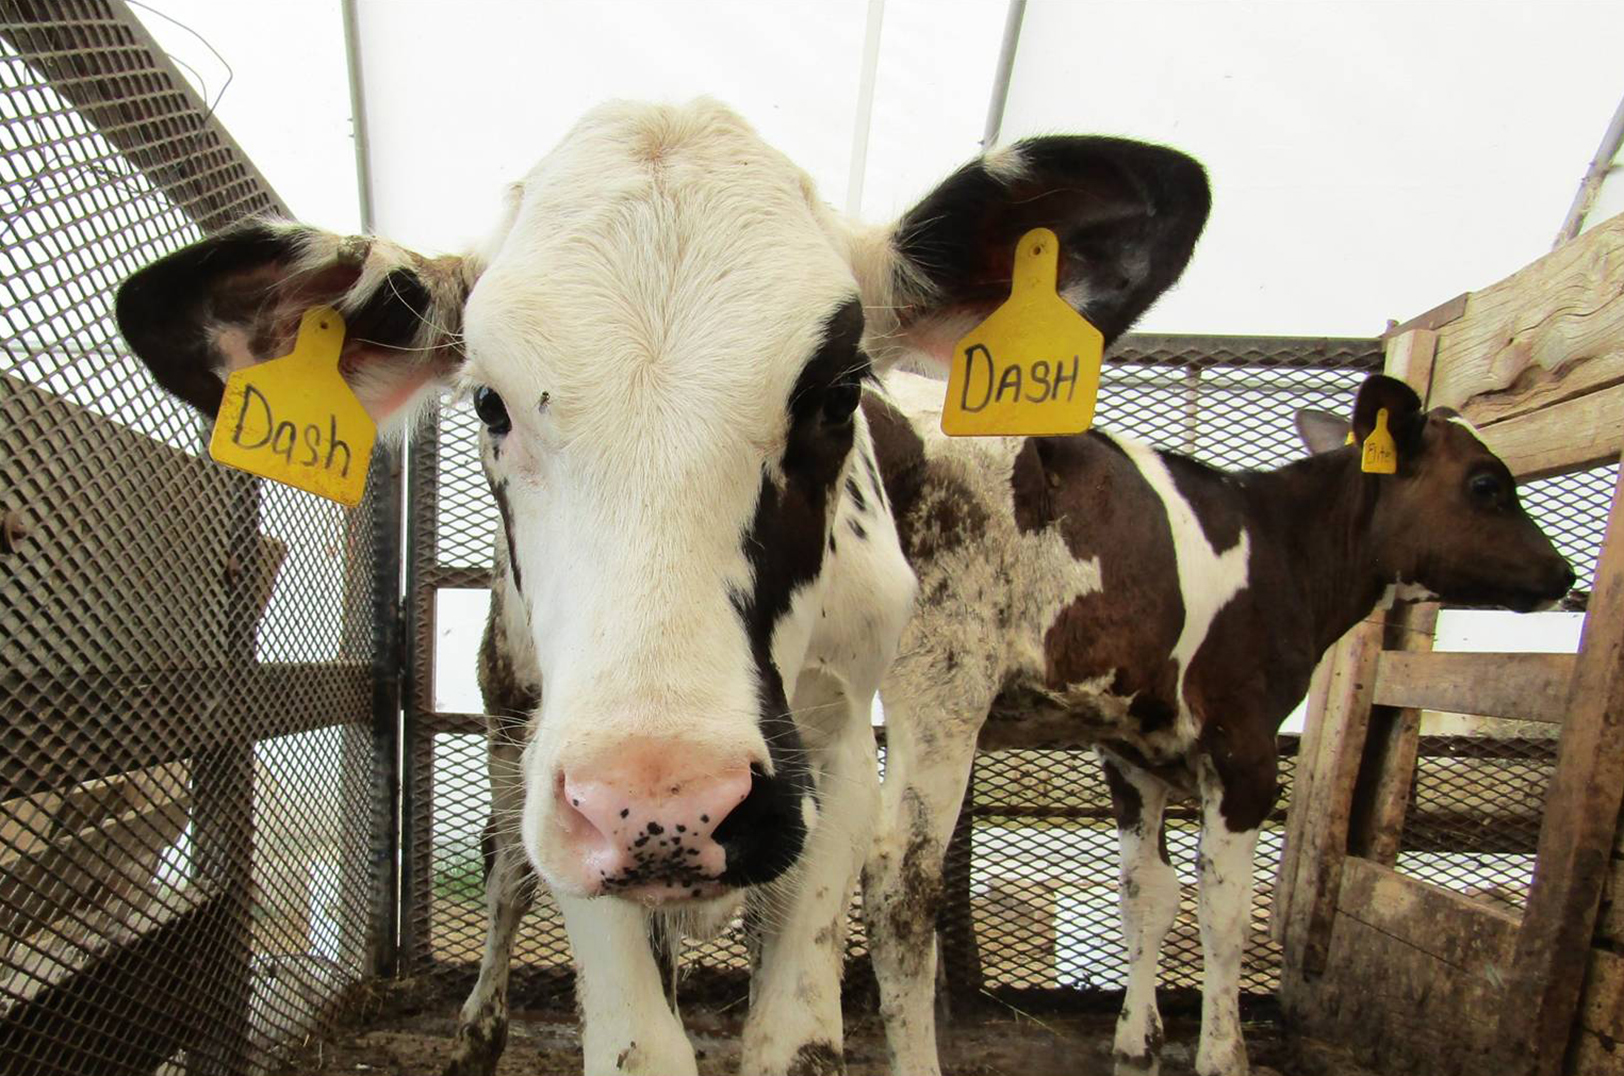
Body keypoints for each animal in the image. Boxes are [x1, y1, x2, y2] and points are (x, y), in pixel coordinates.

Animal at [111, 96, 1208, 1071]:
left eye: (838, 391)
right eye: (490, 403)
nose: (667, 801)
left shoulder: (836, 752)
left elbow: (796, 1033)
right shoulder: (564, 782)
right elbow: (636, 1035)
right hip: (511, 713)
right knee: (504, 869)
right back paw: (478, 1033)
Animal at [863, 373, 1572, 1076]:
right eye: (1487, 484)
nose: (1562, 572)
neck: (1287, 549)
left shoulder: (1132, 752)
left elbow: (1147, 892)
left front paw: (1137, 1037)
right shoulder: (1245, 746)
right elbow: (1225, 908)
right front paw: (1225, 1054)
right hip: (943, 682)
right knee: (899, 886)